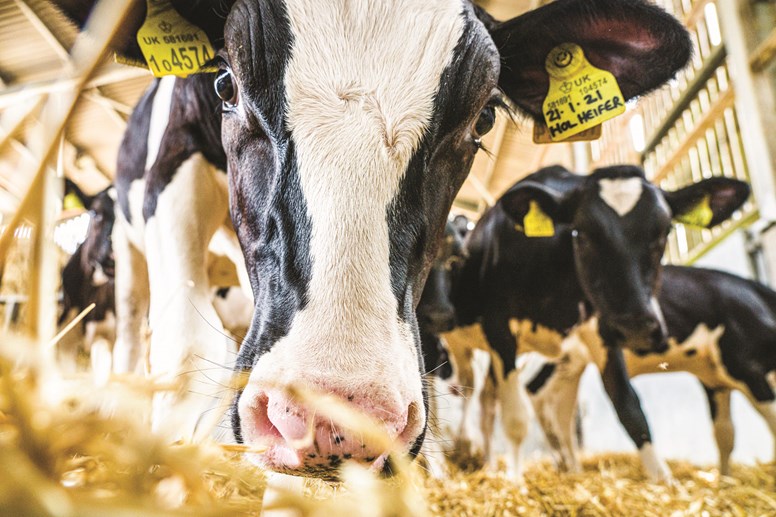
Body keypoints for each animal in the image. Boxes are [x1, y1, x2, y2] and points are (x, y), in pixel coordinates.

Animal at [56, 0, 692, 478]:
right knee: (135, 335)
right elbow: (185, 348)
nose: (336, 422)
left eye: (483, 119)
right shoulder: (171, 171)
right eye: (226, 84)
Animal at [432, 164, 749, 480]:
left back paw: (489, 461)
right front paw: (516, 481)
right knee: (461, 386)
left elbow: (630, 408)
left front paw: (664, 481)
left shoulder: (603, 331)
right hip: (452, 338)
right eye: (581, 233)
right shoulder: (499, 330)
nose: (636, 327)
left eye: (665, 230)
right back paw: (464, 446)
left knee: (486, 399)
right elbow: (516, 419)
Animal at [524, 265, 776, 477]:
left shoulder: (714, 381)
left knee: (556, 411)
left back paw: (571, 469)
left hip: (566, 365)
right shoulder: (747, 368)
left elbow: (724, 433)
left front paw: (725, 480)